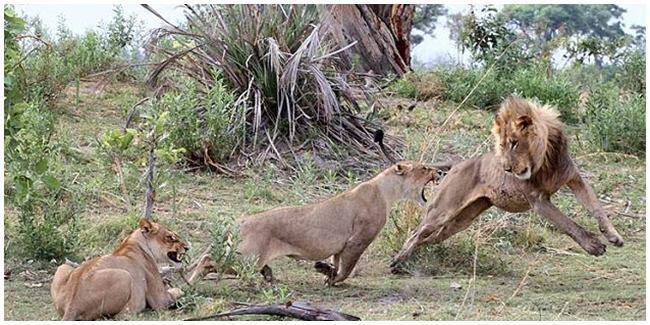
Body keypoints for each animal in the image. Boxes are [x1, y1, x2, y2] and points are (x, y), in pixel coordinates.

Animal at [51, 218, 189, 318]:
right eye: (170, 237)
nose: (187, 247)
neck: (133, 242)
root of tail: (71, 305)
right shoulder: (160, 300)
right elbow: (176, 291)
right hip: (124, 275)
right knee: (118, 316)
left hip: (63, 266)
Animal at [235, 159, 438, 284]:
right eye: (424, 168)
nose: (440, 171)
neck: (385, 191)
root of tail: (243, 221)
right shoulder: (358, 240)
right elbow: (347, 268)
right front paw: (332, 277)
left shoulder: (342, 246)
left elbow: (338, 262)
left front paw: (327, 271)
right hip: (248, 257)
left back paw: (268, 274)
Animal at [390, 95, 624, 270]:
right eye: (502, 145)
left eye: (514, 143)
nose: (507, 170)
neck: (545, 160)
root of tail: (458, 163)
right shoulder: (538, 200)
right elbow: (567, 223)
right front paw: (593, 245)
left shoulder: (574, 178)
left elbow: (596, 207)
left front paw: (614, 236)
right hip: (443, 209)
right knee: (417, 232)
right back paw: (398, 260)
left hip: (462, 219)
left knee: (431, 237)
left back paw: (409, 257)